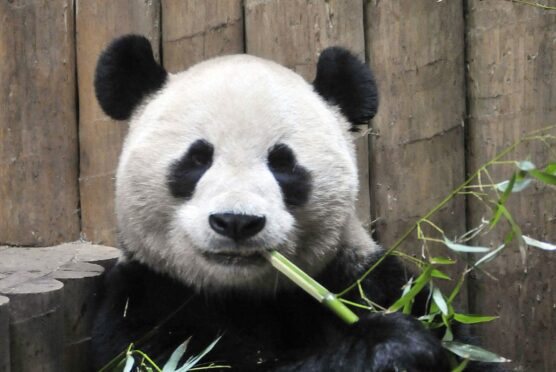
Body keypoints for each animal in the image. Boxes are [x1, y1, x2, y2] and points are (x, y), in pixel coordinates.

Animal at [93, 35, 498, 372]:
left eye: (283, 164)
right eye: (197, 159)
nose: (237, 221)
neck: (244, 294)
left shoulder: (362, 277)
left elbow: (459, 342)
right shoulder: (147, 304)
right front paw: (391, 345)